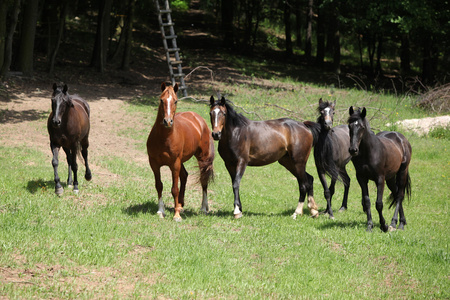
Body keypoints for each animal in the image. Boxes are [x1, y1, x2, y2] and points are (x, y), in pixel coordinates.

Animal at [145, 82, 214, 220]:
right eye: (161, 100)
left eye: (175, 101)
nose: (167, 121)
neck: (164, 138)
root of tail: (199, 119)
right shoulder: (154, 164)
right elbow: (159, 185)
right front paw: (161, 211)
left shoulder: (174, 164)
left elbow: (174, 189)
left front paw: (176, 215)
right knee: (185, 176)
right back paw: (181, 205)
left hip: (202, 158)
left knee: (203, 180)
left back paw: (203, 208)